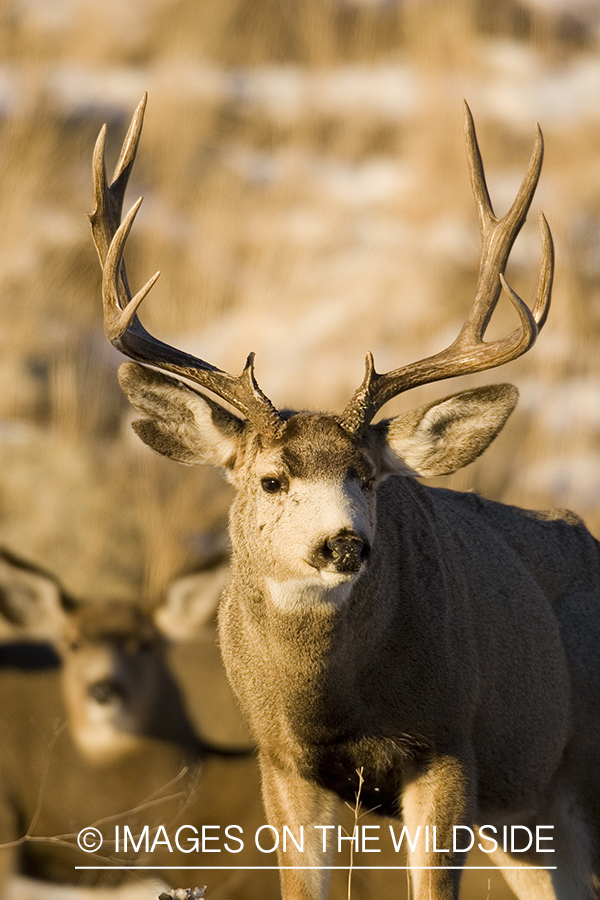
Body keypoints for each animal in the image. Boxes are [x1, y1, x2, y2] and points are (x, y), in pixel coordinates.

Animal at [88, 95, 600, 896]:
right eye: (271, 478)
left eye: (366, 476)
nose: (345, 544)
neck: (332, 702)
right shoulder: (283, 762)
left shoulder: (451, 745)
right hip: (531, 818)